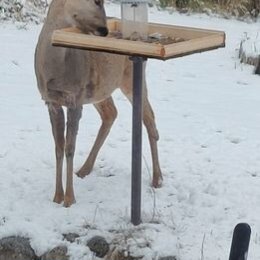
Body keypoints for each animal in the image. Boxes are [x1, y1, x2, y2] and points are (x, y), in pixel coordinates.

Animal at [34, 0, 162, 207]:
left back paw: (157, 178)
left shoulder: (75, 98)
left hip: (130, 78)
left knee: (149, 117)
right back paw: (84, 169)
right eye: (96, 1)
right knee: (111, 113)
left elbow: (69, 148)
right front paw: (57, 197)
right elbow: (58, 147)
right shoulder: (50, 101)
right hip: (100, 90)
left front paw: (69, 199)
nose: (105, 30)